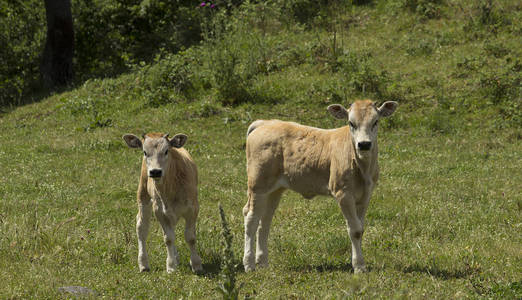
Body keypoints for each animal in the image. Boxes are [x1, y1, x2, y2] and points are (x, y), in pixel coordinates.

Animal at [123, 132, 202, 274]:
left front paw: (196, 264)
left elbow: (190, 237)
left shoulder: (192, 209)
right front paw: (171, 266)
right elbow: (168, 238)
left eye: (166, 151)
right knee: (141, 227)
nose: (155, 171)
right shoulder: (159, 211)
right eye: (145, 152)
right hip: (143, 193)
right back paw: (143, 263)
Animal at [242, 99, 396, 274]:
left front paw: (360, 264)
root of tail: (265, 123)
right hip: (257, 184)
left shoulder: (365, 195)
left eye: (375, 121)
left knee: (265, 221)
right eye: (351, 123)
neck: (363, 168)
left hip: (274, 189)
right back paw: (249, 264)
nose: (364, 144)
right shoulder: (343, 193)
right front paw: (359, 266)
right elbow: (355, 230)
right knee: (251, 218)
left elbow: (361, 227)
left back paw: (262, 263)